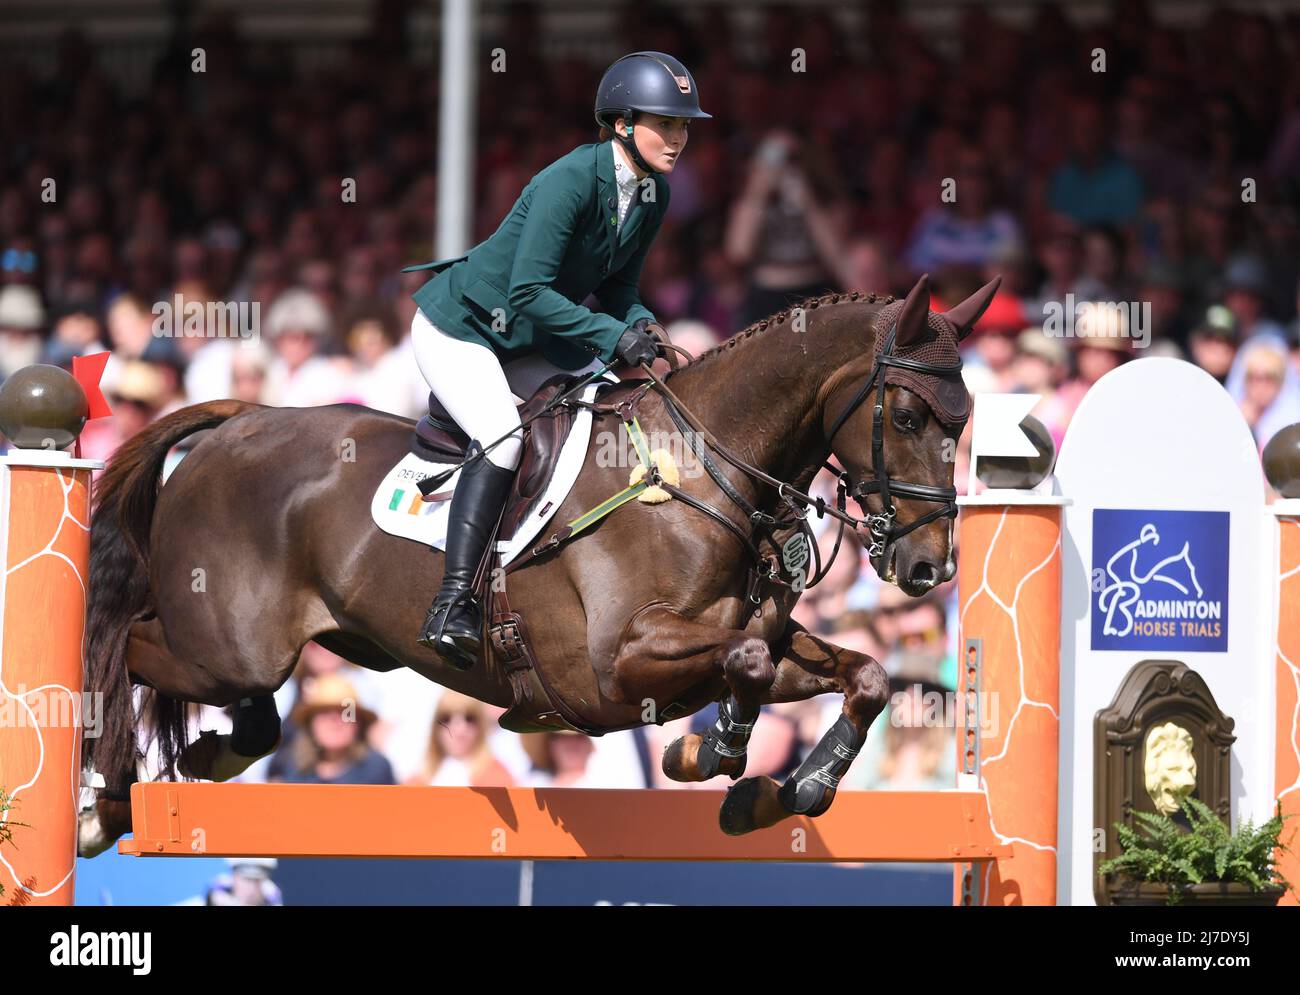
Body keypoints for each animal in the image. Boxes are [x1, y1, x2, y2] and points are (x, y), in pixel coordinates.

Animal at [81, 273, 993, 853]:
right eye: (908, 415)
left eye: (968, 418)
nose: (928, 568)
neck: (706, 471)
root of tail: (234, 424)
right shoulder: (619, 662)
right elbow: (748, 660)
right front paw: (712, 754)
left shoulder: (756, 639)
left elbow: (860, 674)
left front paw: (786, 790)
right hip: (223, 644)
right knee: (123, 648)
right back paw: (105, 804)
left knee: (250, 716)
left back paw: (194, 764)